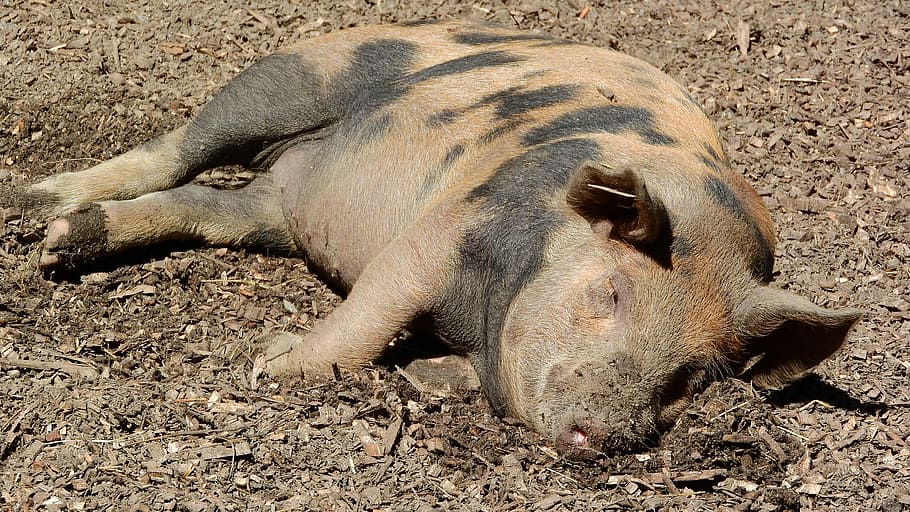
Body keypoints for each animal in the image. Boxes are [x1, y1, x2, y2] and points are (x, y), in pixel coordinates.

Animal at [14, 20, 860, 459]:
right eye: (611, 292)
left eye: (695, 373)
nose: (598, 432)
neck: (481, 324)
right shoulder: (443, 232)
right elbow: (374, 311)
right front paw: (269, 366)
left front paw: (424, 378)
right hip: (297, 74)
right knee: (178, 149)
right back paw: (33, 211)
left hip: (276, 213)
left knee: (203, 201)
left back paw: (62, 240)